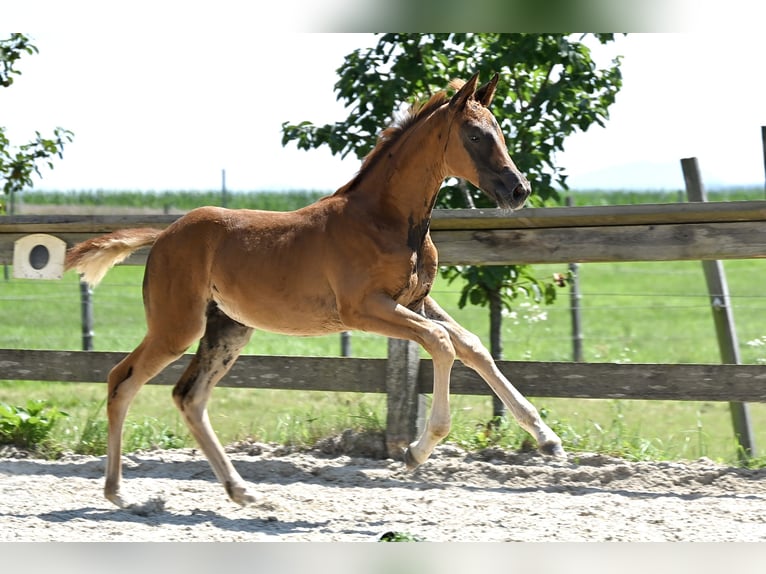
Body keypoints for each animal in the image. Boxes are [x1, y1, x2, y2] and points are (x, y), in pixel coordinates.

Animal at [66, 74, 568, 510]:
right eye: (476, 136)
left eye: (499, 131)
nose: (518, 190)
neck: (385, 219)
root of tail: (163, 235)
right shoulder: (364, 309)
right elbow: (442, 343)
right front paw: (416, 451)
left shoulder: (415, 301)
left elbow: (472, 345)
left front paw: (547, 439)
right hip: (178, 326)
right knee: (122, 380)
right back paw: (118, 493)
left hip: (228, 329)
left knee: (189, 396)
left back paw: (241, 491)